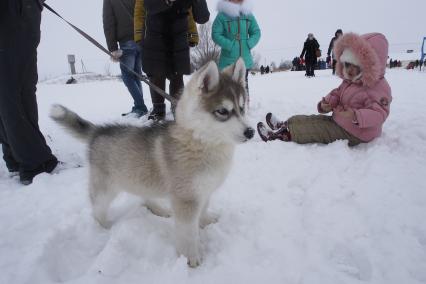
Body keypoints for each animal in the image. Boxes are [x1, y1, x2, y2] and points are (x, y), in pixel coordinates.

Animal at [51, 58, 255, 268]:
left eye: (242, 107)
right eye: (223, 111)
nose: (251, 132)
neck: (200, 141)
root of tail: (98, 130)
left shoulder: (204, 191)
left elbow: (204, 209)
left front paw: (205, 220)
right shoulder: (186, 199)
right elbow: (188, 232)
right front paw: (190, 257)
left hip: (139, 177)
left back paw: (159, 209)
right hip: (105, 189)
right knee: (97, 209)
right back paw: (103, 227)